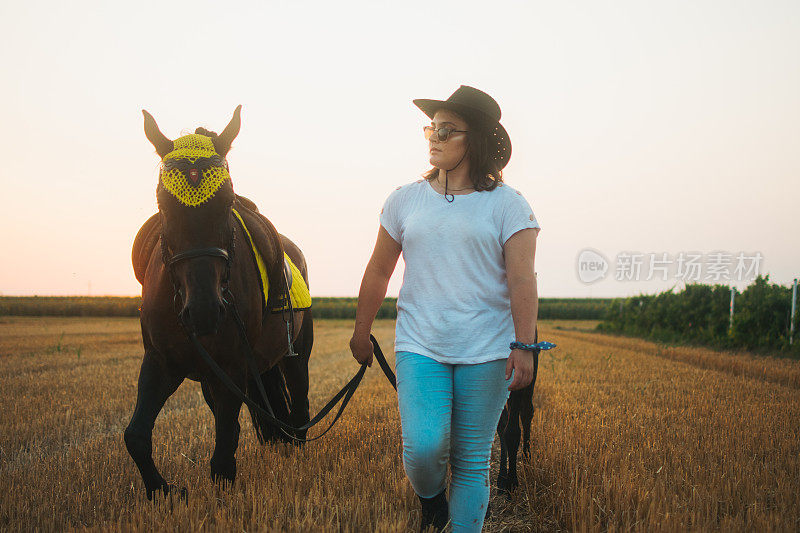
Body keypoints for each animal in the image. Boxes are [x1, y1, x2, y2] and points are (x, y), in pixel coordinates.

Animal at [125, 107, 312, 498]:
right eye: (163, 204)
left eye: (227, 202)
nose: (204, 311)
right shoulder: (161, 362)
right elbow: (135, 435)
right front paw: (163, 491)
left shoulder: (232, 364)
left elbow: (225, 451)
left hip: (296, 355)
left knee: (301, 408)